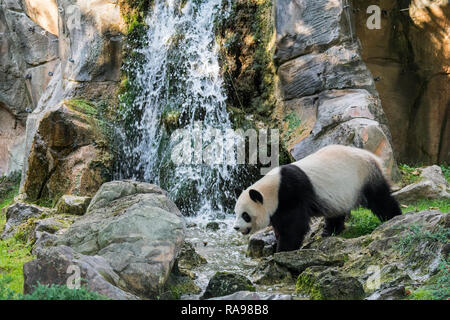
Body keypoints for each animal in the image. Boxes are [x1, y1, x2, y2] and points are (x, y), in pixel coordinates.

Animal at [232, 145, 400, 252]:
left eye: (245, 215)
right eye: (236, 213)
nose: (236, 228)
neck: (272, 189)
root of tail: (373, 157)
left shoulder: (290, 193)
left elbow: (294, 226)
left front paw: (283, 249)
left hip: (364, 175)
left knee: (380, 199)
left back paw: (393, 216)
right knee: (336, 212)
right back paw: (330, 231)